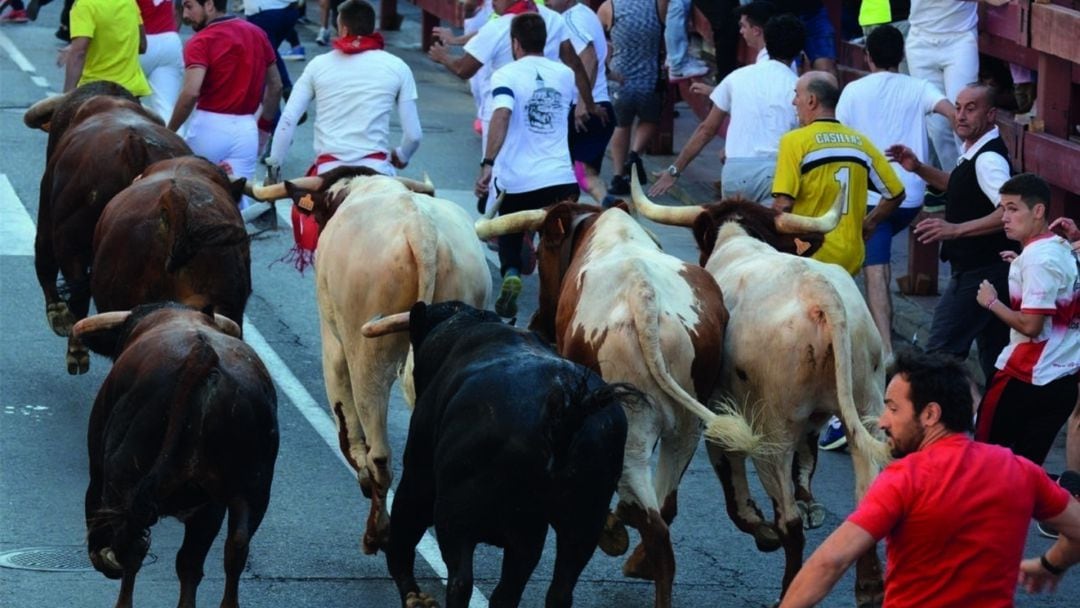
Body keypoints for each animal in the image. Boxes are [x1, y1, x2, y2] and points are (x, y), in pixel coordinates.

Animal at [23, 80, 192, 375]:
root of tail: (135, 146)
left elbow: (45, 263)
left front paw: (58, 315)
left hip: (69, 237)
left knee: (75, 285)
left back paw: (76, 349)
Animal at [245, 166, 490, 557]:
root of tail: (422, 232)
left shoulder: (333, 341)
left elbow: (345, 422)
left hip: (367, 356)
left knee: (379, 452)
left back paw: (377, 532)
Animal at [477, 201, 764, 604]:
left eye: (543, 246)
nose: (536, 323)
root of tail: (643, 296)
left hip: (631, 419)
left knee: (651, 520)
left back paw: (615, 532)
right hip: (685, 426)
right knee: (665, 509)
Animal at [630, 178, 889, 604]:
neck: (740, 242)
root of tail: (821, 296)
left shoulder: (721, 417)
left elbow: (734, 492)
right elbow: (805, 467)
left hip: (772, 433)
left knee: (789, 521)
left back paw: (788, 590)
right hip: (867, 410)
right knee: (865, 491)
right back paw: (868, 586)